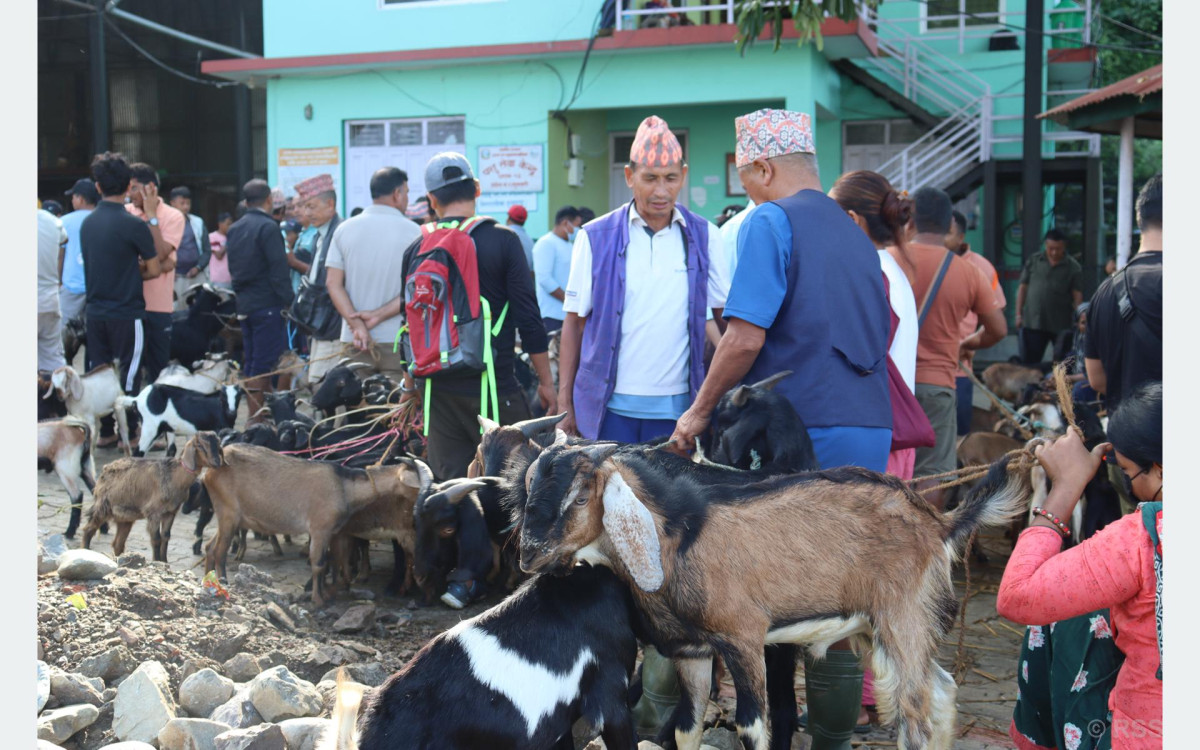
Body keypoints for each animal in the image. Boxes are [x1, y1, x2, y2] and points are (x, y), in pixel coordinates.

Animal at [182, 432, 427, 609]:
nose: (428, 500)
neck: (344, 486)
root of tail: (210, 471)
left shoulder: (335, 532)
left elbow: (333, 562)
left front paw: (329, 593)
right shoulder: (320, 527)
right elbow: (318, 563)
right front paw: (318, 600)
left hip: (231, 516)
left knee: (210, 547)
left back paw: (208, 581)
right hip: (228, 513)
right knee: (220, 550)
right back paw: (223, 582)